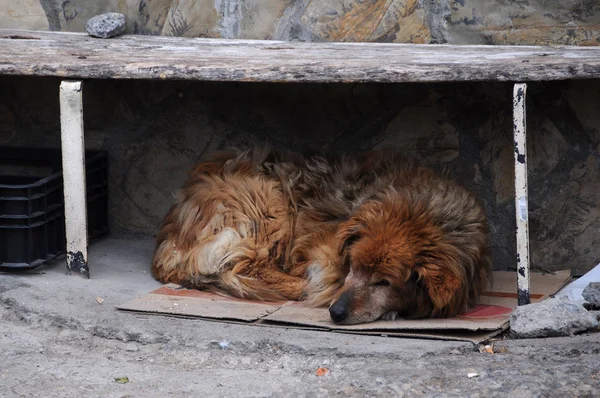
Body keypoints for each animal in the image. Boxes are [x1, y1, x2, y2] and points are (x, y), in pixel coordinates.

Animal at [151, 148, 492, 324]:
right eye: (353, 265)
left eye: (384, 282)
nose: (336, 312)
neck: (422, 208)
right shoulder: (325, 255)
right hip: (268, 202)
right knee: (252, 267)